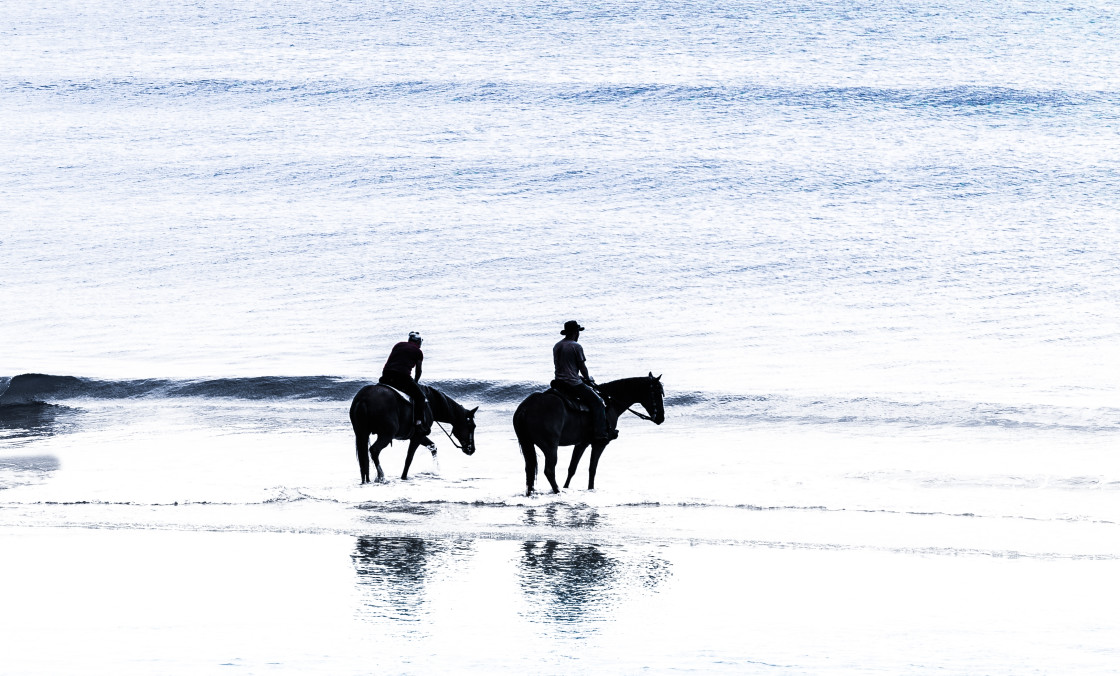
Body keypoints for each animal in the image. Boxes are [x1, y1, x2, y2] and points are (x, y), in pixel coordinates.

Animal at [515, 371, 663, 494]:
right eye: (657, 393)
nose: (661, 418)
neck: (609, 403)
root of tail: (526, 408)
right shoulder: (599, 443)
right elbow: (592, 469)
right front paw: (591, 489)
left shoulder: (582, 443)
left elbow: (572, 468)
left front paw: (567, 487)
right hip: (550, 447)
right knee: (549, 471)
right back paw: (557, 491)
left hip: (527, 444)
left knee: (529, 469)